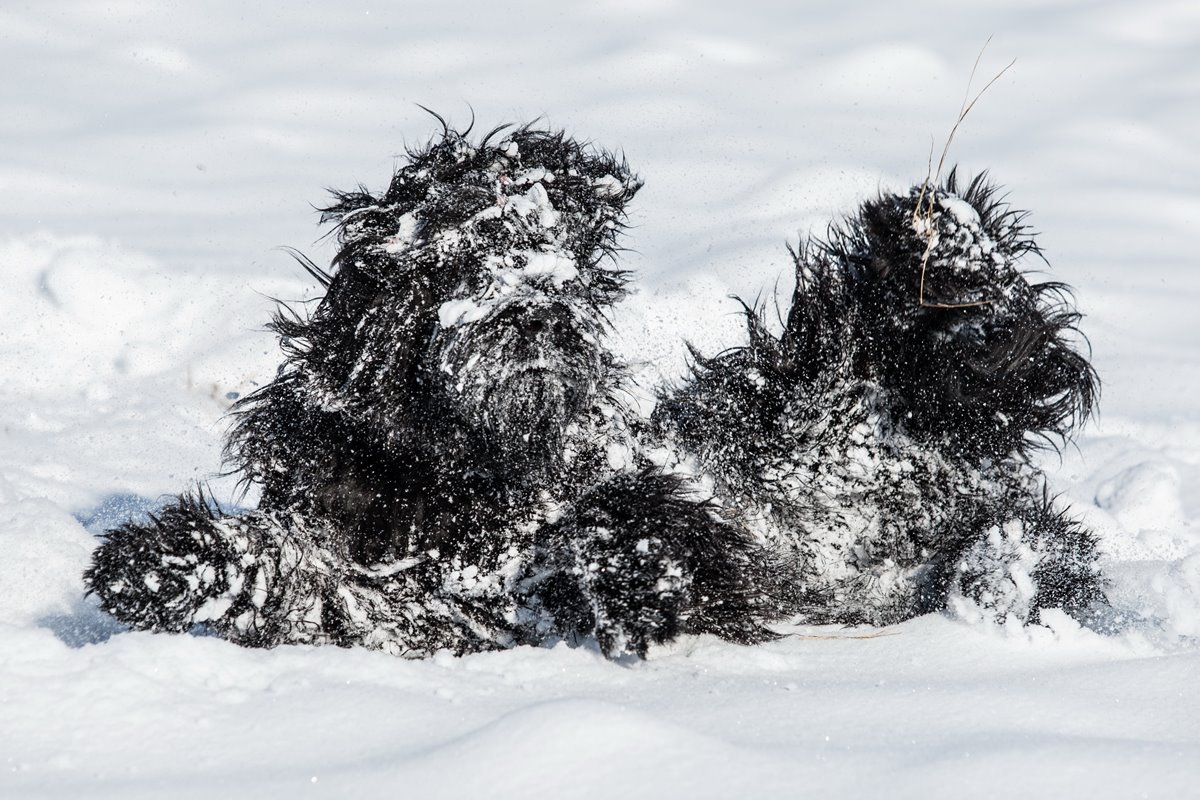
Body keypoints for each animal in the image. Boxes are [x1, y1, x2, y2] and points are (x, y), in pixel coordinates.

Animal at [87, 120, 777, 657]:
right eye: (462, 257)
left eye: (553, 252)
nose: (542, 316)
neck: (452, 462)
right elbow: (302, 570)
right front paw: (160, 565)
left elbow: (640, 513)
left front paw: (641, 577)